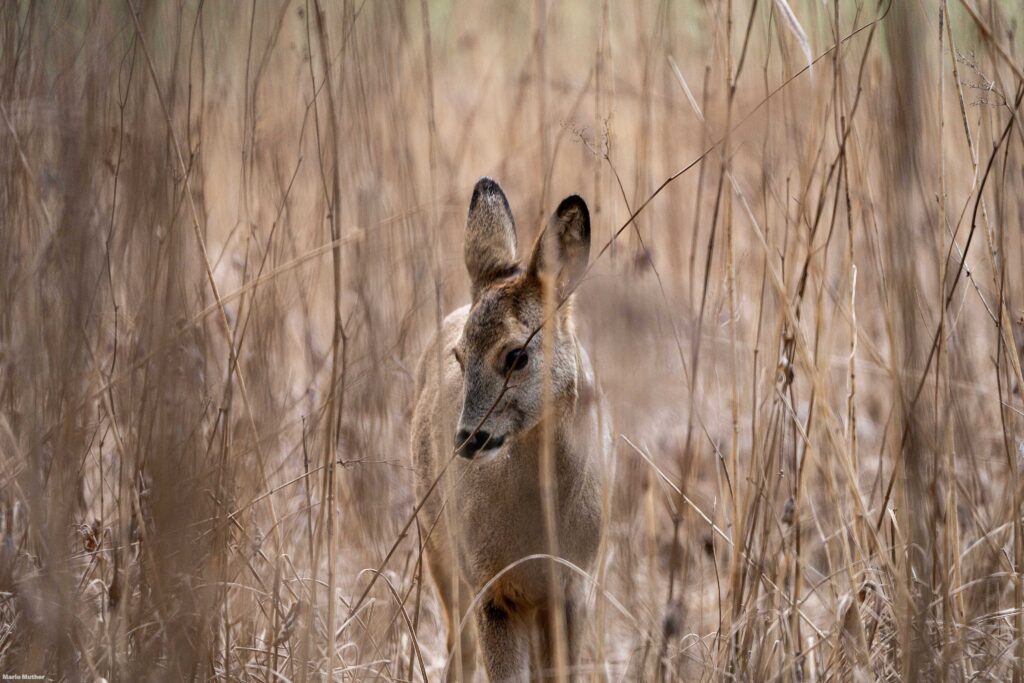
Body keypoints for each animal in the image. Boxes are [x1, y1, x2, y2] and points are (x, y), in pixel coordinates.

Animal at [413, 178, 610, 683]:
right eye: (461, 356)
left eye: (517, 354)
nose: (468, 437)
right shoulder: (492, 587)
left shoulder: (575, 587)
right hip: (440, 548)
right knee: (457, 648)